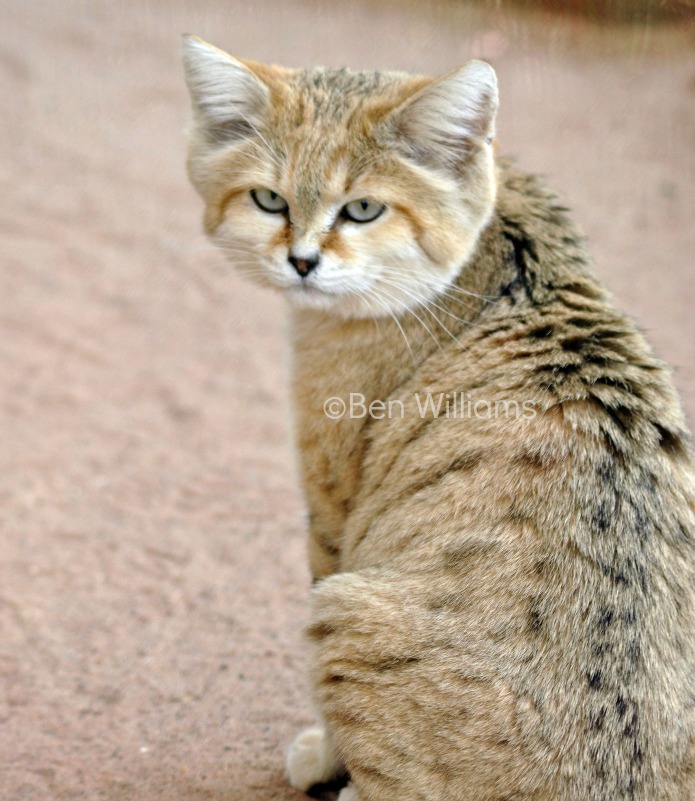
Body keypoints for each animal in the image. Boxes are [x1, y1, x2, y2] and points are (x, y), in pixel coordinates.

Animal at [181, 34, 695, 796]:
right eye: (269, 200)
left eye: (363, 209)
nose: (301, 261)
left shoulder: (332, 512)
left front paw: (319, 755)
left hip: (346, 610)